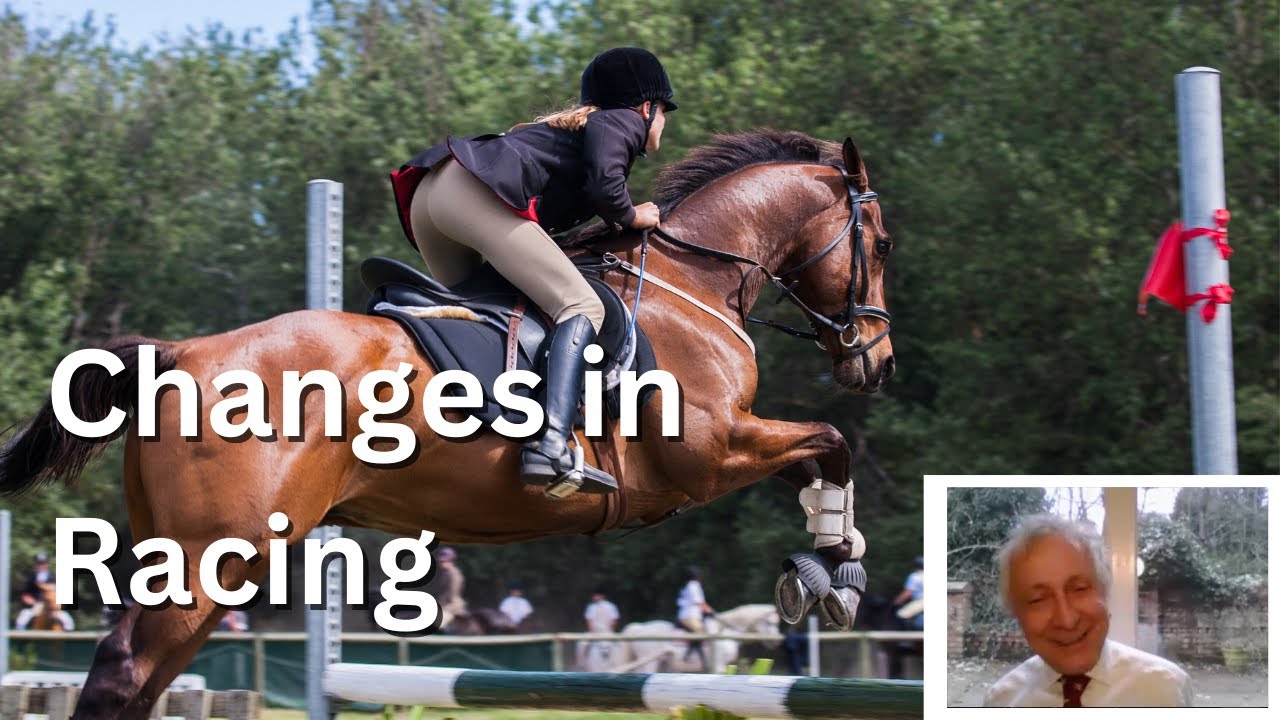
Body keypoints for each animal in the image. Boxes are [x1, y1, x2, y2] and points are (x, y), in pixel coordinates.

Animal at [0, 130, 894, 719]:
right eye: (880, 242)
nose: (875, 362)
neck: (690, 282)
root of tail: (183, 352)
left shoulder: (725, 449)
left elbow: (819, 456)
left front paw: (835, 559)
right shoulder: (708, 454)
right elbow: (830, 443)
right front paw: (831, 573)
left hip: (205, 560)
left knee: (146, 679)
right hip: (210, 557)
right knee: (124, 673)